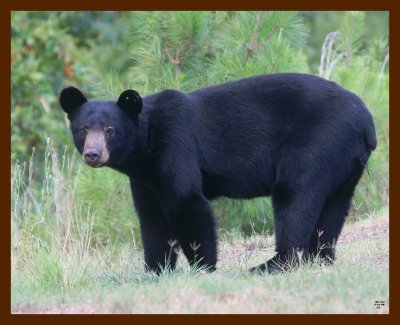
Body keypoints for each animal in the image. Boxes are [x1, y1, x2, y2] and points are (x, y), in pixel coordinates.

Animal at [59, 72, 378, 272]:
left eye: (110, 130)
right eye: (83, 129)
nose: (93, 154)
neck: (145, 147)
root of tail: (366, 121)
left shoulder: (176, 144)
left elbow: (186, 200)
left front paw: (203, 266)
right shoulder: (145, 178)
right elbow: (152, 218)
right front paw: (155, 270)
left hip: (316, 142)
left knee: (295, 196)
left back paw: (271, 265)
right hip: (344, 162)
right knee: (334, 207)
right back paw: (321, 258)